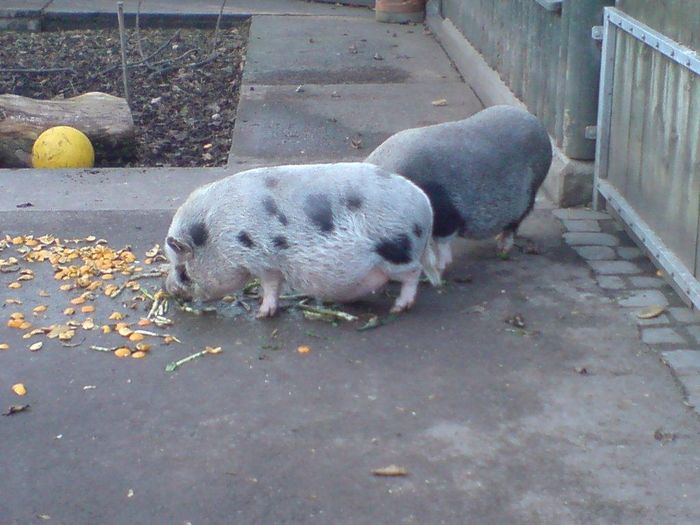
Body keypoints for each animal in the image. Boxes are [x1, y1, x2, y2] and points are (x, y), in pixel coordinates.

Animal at [164, 161, 438, 316]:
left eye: (183, 270)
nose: (167, 288)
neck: (218, 235)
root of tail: (425, 205)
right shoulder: (272, 263)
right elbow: (274, 285)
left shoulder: (261, 260)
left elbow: (269, 285)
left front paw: (261, 315)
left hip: (396, 250)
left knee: (414, 273)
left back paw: (399, 308)